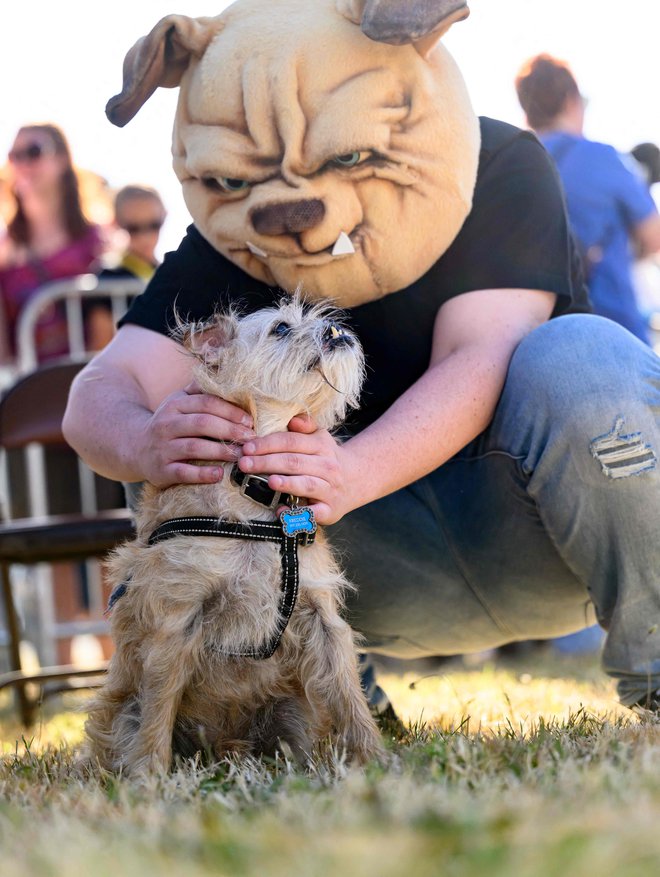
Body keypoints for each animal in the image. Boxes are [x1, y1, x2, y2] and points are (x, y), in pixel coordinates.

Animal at [85, 300, 384, 772]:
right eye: (281, 328)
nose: (336, 330)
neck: (255, 497)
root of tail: (226, 747)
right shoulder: (177, 620)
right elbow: (158, 710)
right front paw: (149, 775)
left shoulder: (323, 619)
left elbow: (349, 695)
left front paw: (375, 759)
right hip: (121, 713)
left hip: (294, 714)